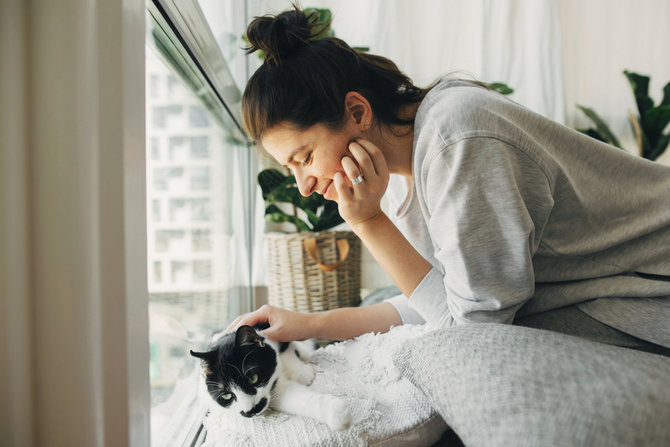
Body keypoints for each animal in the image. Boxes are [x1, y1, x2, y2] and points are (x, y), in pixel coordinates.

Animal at [190, 326, 352, 430]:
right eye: (227, 395)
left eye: (253, 378)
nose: (250, 411)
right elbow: (295, 399)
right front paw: (336, 413)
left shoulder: (279, 334)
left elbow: (287, 351)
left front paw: (302, 373)